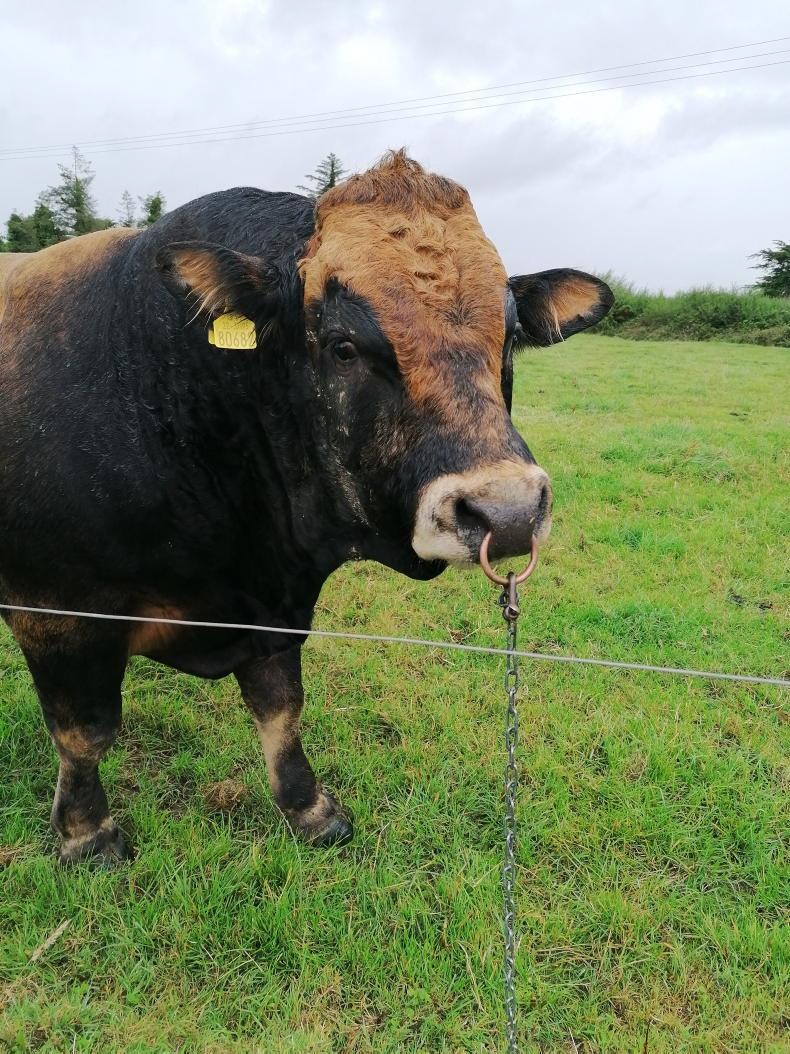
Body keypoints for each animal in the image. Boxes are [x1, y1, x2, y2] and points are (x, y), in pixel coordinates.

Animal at [0, 155, 610, 864]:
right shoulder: (58, 614)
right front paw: (88, 835)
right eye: (343, 346)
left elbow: (282, 709)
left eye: (509, 337)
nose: (506, 511)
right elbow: (85, 734)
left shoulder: (276, 607)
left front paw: (309, 809)